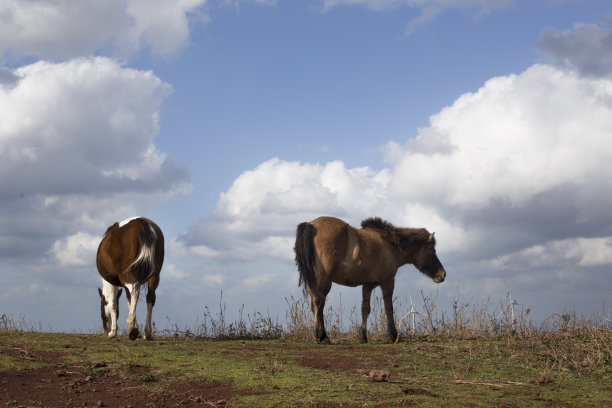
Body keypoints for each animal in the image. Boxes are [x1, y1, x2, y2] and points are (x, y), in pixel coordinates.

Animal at [294, 217, 448, 344]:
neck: (390, 245)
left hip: (313, 282)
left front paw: (363, 337)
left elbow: (365, 309)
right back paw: (323, 337)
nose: (443, 274)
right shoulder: (388, 281)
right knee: (319, 304)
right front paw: (393, 335)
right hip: (324, 281)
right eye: (433, 250)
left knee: (314, 305)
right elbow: (388, 308)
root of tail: (311, 225)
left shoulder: (367, 285)